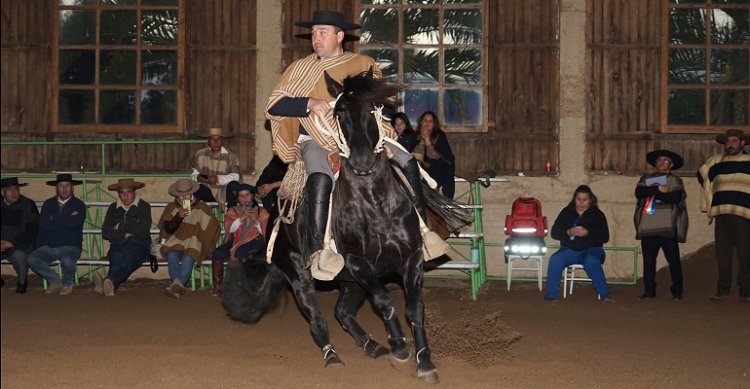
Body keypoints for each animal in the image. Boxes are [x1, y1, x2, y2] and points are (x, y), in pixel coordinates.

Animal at [225, 69, 458, 382]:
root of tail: (275, 221)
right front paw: (399, 347)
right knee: (317, 317)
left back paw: (372, 345)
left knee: (343, 312)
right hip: (300, 275)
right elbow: (384, 300)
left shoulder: (411, 258)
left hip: (350, 282)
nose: (361, 160)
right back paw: (332, 355)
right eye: (339, 114)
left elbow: (413, 308)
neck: (374, 202)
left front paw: (425, 361)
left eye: (373, 109)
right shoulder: (358, 263)